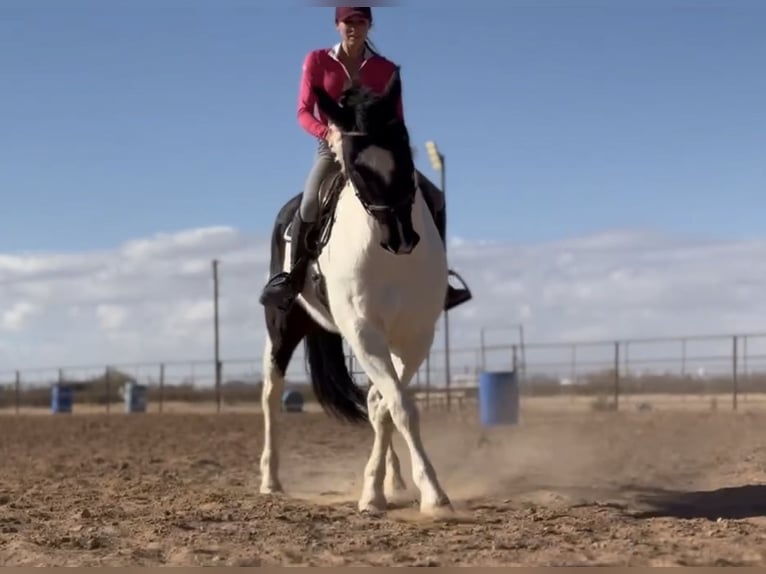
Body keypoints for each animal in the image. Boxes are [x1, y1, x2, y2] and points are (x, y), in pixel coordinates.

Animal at [262, 68, 452, 516]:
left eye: (405, 151)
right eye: (356, 166)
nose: (401, 238)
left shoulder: (416, 336)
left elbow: (385, 404)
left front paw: (382, 487)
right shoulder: (364, 332)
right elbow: (399, 405)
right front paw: (431, 493)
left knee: (373, 402)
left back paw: (393, 479)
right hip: (281, 328)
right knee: (271, 395)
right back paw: (270, 480)